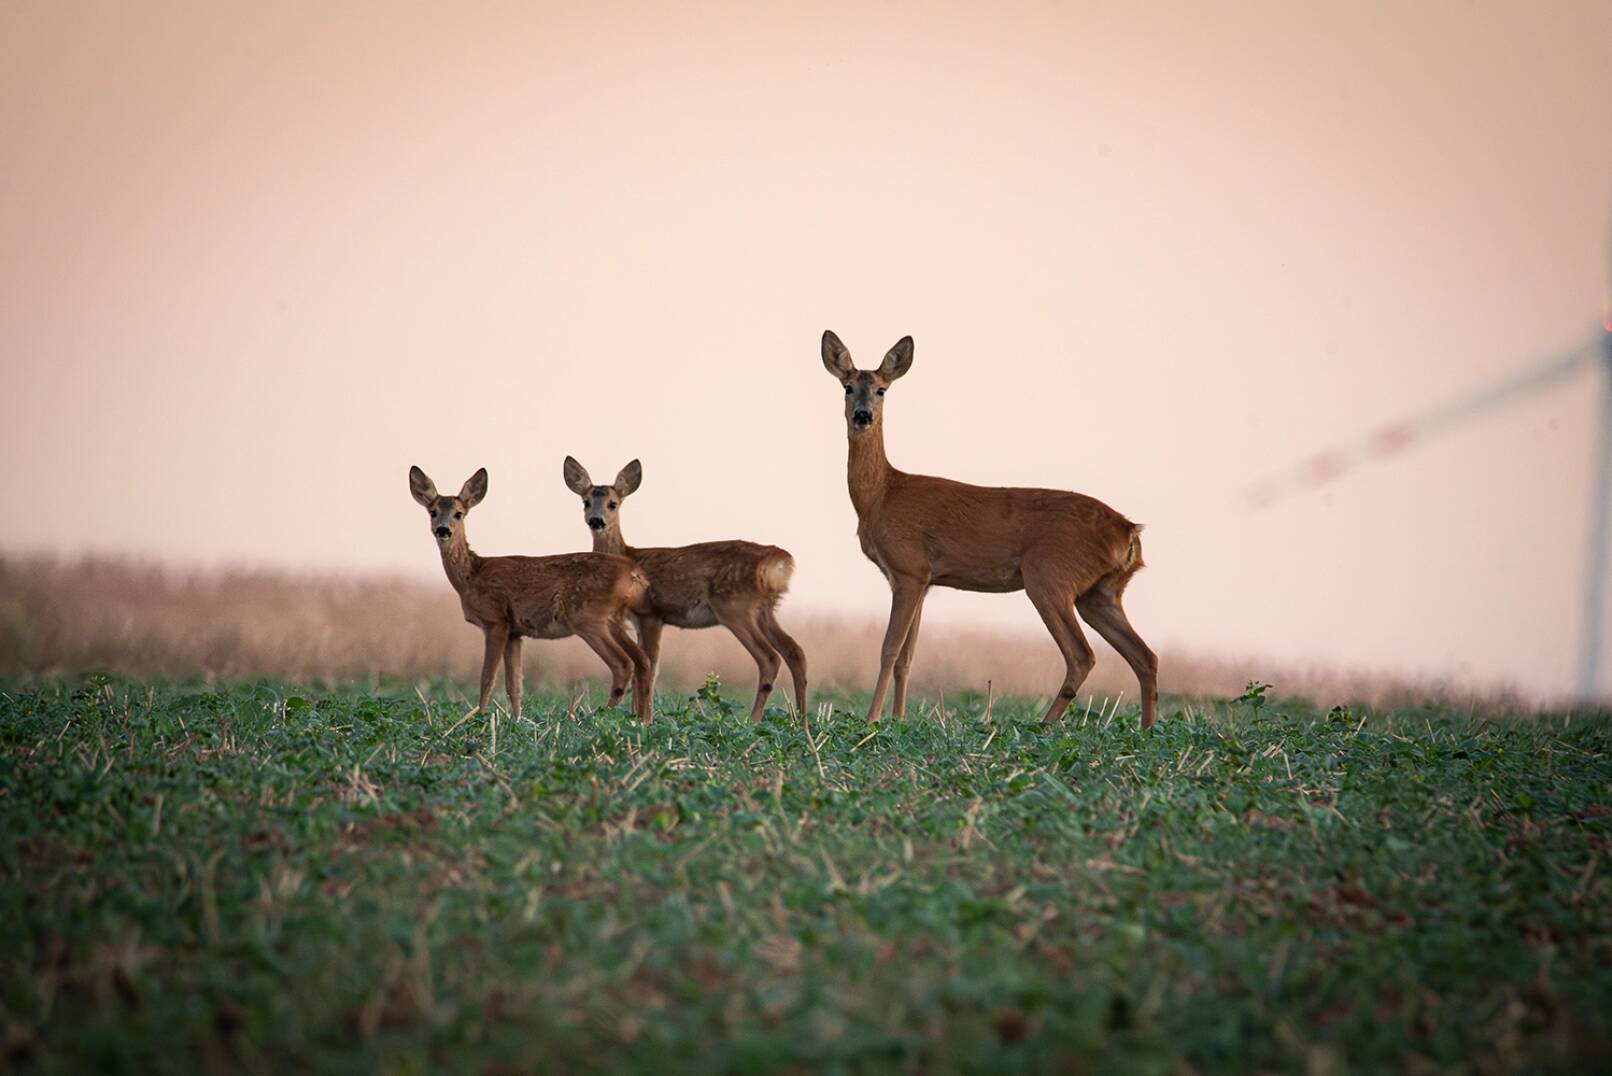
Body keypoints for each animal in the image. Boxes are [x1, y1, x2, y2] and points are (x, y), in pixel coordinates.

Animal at [406, 464, 651, 722]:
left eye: (458, 514)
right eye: (433, 512)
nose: (443, 530)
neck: (472, 575)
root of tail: (634, 573)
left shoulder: (496, 620)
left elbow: (487, 678)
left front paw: (480, 717)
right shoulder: (515, 632)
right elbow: (515, 684)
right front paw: (515, 720)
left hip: (588, 617)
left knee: (623, 664)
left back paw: (599, 716)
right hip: (614, 619)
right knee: (642, 659)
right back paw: (641, 720)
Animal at [564, 458, 806, 722]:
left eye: (612, 504)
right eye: (586, 502)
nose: (596, 521)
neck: (628, 556)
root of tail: (776, 560)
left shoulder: (651, 613)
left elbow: (650, 666)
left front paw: (644, 719)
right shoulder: (639, 620)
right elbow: (644, 665)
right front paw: (638, 716)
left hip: (735, 606)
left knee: (770, 658)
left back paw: (753, 721)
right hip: (765, 608)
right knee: (795, 651)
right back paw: (801, 722)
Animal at [818, 332, 1160, 729]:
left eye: (881, 390)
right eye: (847, 387)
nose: (863, 415)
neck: (882, 495)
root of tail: (1129, 531)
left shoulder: (908, 568)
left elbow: (888, 649)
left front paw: (872, 720)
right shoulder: (923, 579)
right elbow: (907, 657)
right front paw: (898, 719)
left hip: (1049, 578)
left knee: (1082, 656)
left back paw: (1044, 724)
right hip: (1100, 593)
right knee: (1145, 657)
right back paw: (1146, 730)